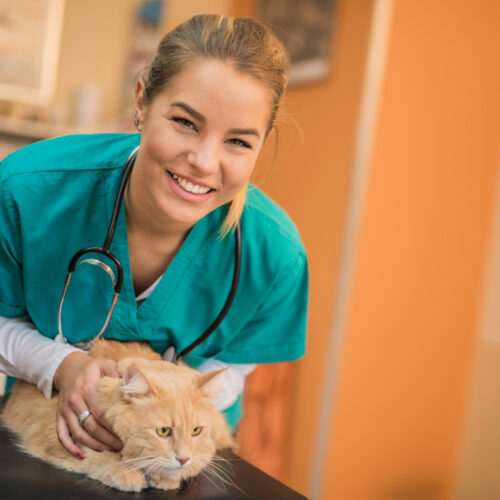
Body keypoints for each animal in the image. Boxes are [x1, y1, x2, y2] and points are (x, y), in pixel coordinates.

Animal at [0, 338, 234, 490]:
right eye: (163, 431)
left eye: (196, 431)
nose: (184, 458)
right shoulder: (53, 437)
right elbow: (97, 457)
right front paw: (128, 474)